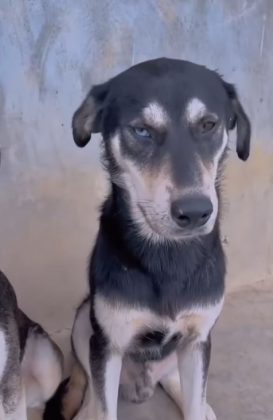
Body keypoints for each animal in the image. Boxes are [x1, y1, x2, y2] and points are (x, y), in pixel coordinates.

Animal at [44, 56, 251, 420]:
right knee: (88, 382)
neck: (167, 255)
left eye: (209, 125)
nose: (195, 211)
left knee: (174, 380)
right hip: (85, 319)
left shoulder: (198, 339)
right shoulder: (107, 342)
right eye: (141, 130)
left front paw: (197, 406)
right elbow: (104, 408)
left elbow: (194, 402)